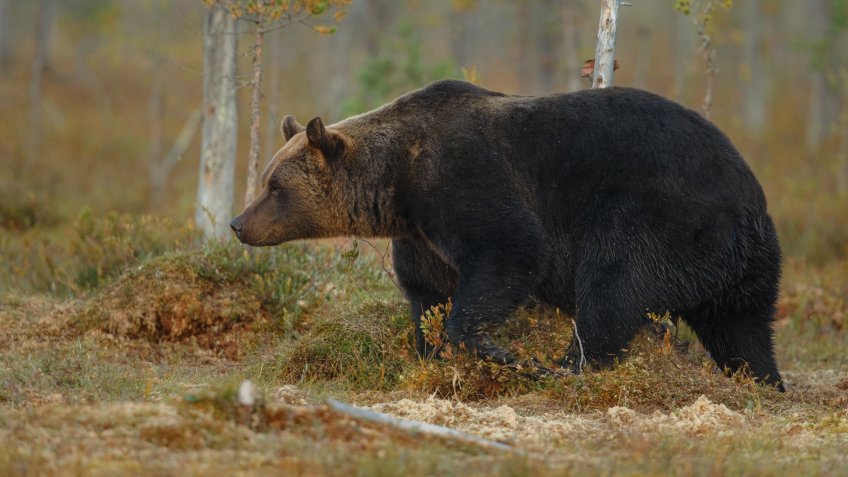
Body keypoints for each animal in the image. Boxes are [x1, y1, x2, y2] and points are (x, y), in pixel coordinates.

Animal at [229, 79, 784, 390]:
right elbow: (426, 293)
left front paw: (498, 352)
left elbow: (512, 251)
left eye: (275, 186)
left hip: (657, 215)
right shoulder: (421, 235)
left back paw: (566, 366)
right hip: (742, 264)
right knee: (742, 328)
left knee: (613, 288)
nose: (238, 223)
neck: (398, 183)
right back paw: (763, 383)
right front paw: (430, 353)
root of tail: (749, 202)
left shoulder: (466, 179)